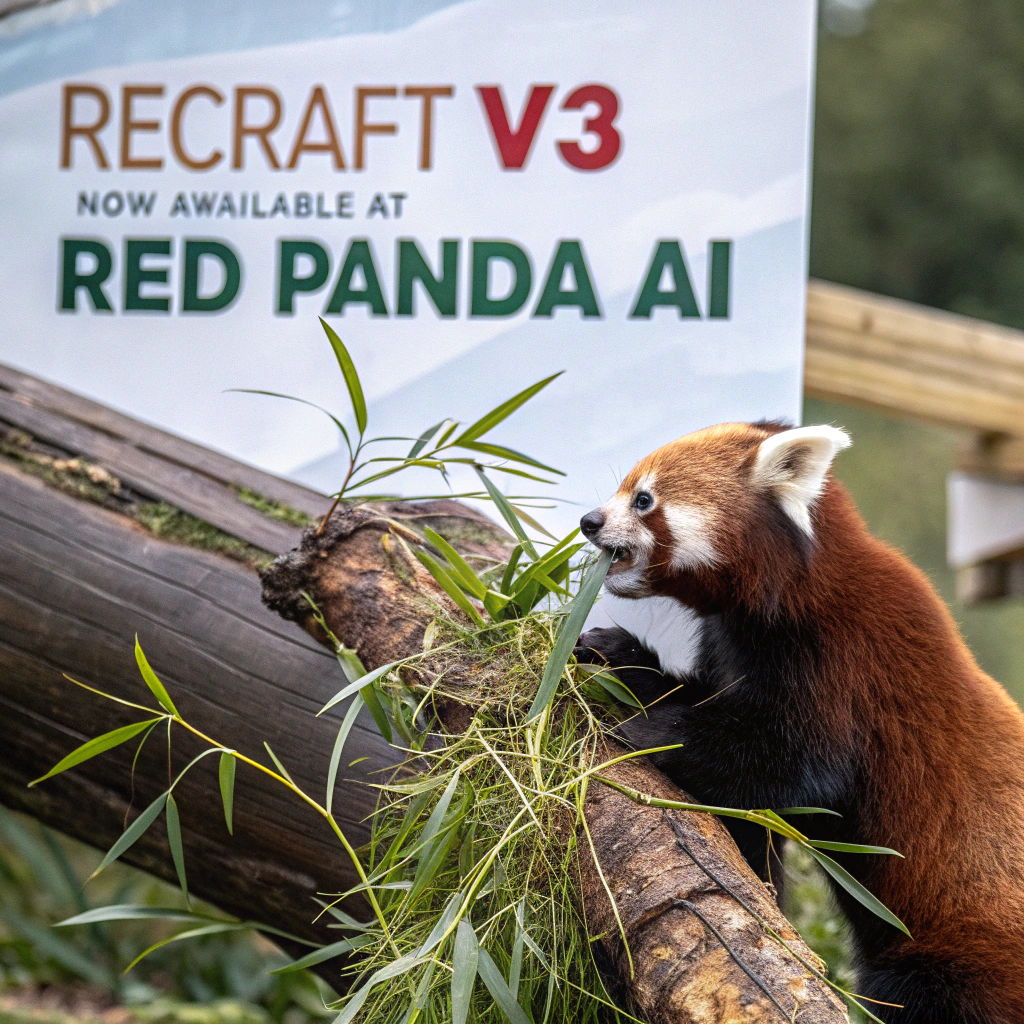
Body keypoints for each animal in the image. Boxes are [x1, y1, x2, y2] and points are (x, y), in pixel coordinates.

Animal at [574, 420, 1024, 1024]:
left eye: (643, 499)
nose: (589, 521)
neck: (788, 593)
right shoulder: (728, 646)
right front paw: (616, 658)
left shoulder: (843, 659)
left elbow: (790, 765)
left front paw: (650, 734)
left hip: (965, 952)